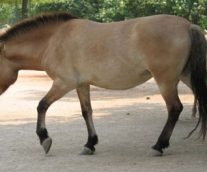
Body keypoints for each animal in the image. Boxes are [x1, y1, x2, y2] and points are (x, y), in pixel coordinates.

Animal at [0, 12, 207, 156]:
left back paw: (158, 146)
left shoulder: (63, 83)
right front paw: (90, 144)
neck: (53, 40)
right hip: (184, 76)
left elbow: (41, 105)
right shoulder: (81, 84)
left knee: (174, 108)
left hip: (166, 80)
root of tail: (188, 26)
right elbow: (87, 112)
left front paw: (45, 139)